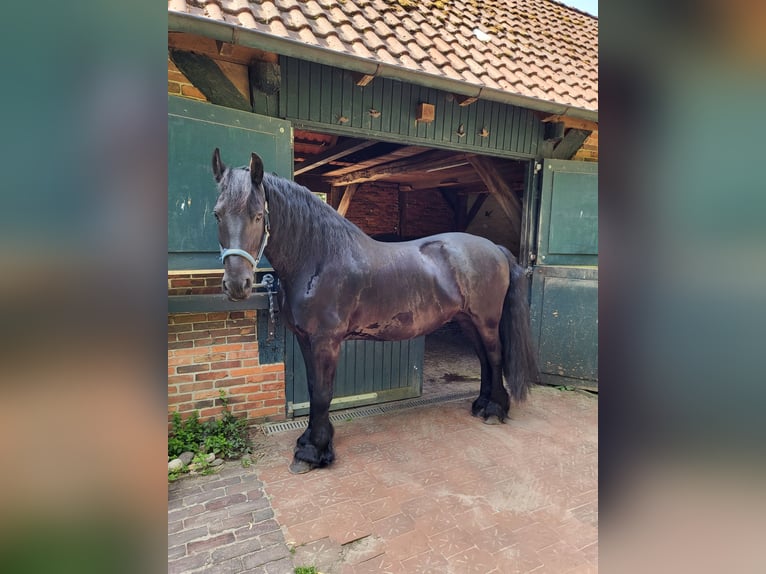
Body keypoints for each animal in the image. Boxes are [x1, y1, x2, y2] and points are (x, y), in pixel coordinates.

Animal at [211, 148, 539, 474]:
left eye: (257, 215)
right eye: (217, 214)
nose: (237, 285)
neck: (319, 258)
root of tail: (495, 249)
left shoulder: (326, 342)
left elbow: (322, 393)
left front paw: (313, 451)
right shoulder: (306, 340)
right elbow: (314, 388)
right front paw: (311, 442)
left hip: (486, 321)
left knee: (495, 358)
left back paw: (494, 410)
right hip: (467, 320)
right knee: (484, 360)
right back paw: (482, 404)